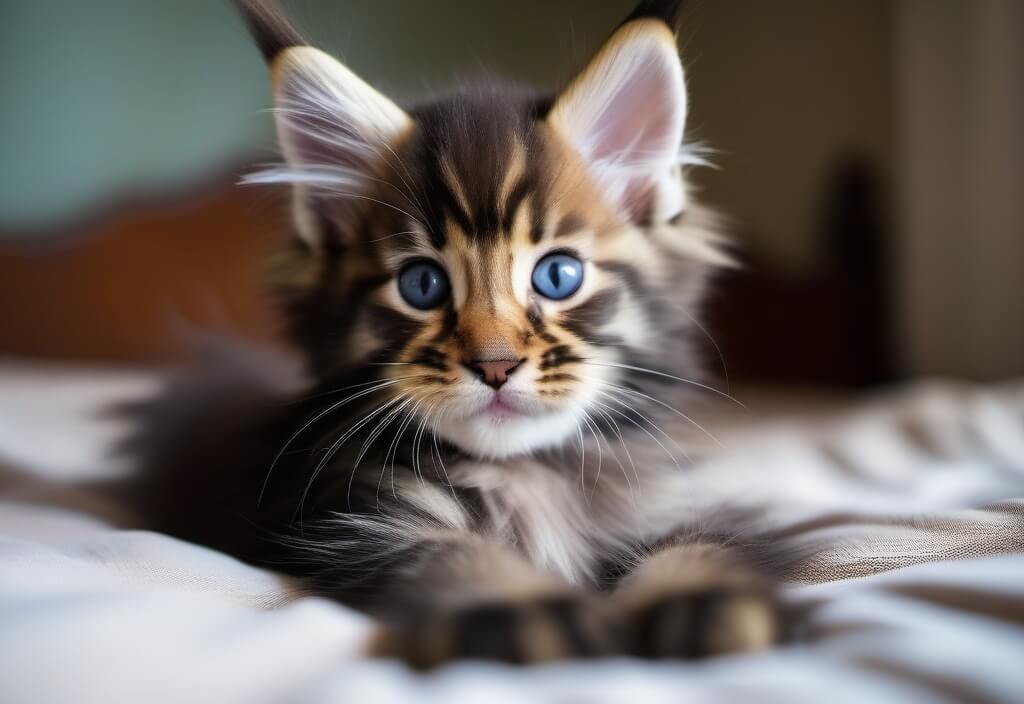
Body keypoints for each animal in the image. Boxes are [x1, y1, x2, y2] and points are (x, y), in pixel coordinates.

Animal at [119, 0, 790, 667]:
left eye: (558, 275)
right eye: (422, 285)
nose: (495, 365)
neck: (525, 475)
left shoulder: (664, 502)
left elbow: (701, 540)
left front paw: (698, 595)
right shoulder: (354, 524)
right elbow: (452, 551)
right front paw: (518, 604)